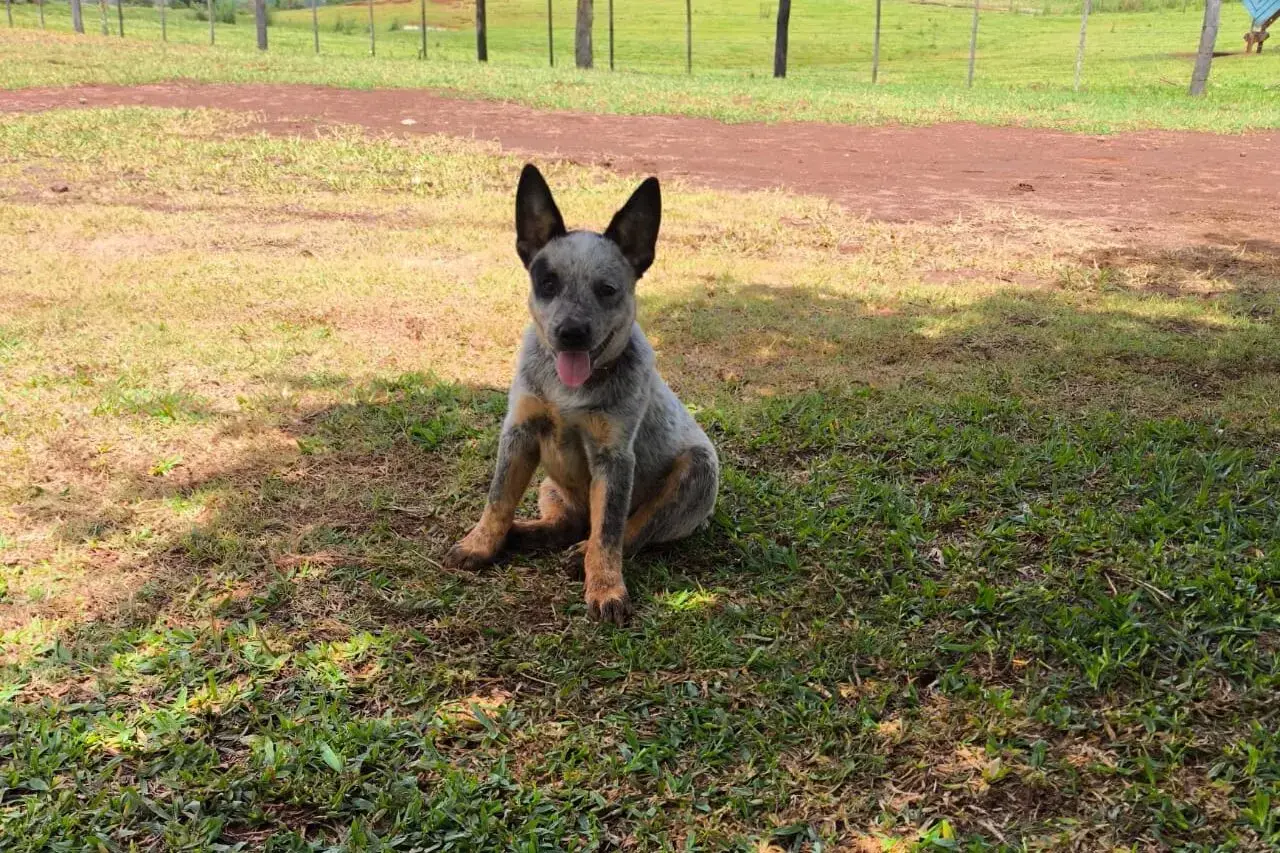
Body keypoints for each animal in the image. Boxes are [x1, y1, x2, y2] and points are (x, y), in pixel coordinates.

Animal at [443, 164, 719, 625]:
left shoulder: (614, 458)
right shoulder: (519, 433)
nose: (571, 332)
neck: (568, 392)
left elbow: (609, 533)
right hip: (549, 485)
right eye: (548, 282)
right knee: (566, 523)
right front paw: (481, 544)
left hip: (696, 470)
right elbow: (498, 499)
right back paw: (522, 534)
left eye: (607, 289)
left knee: (631, 530)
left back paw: (581, 554)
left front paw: (606, 589)